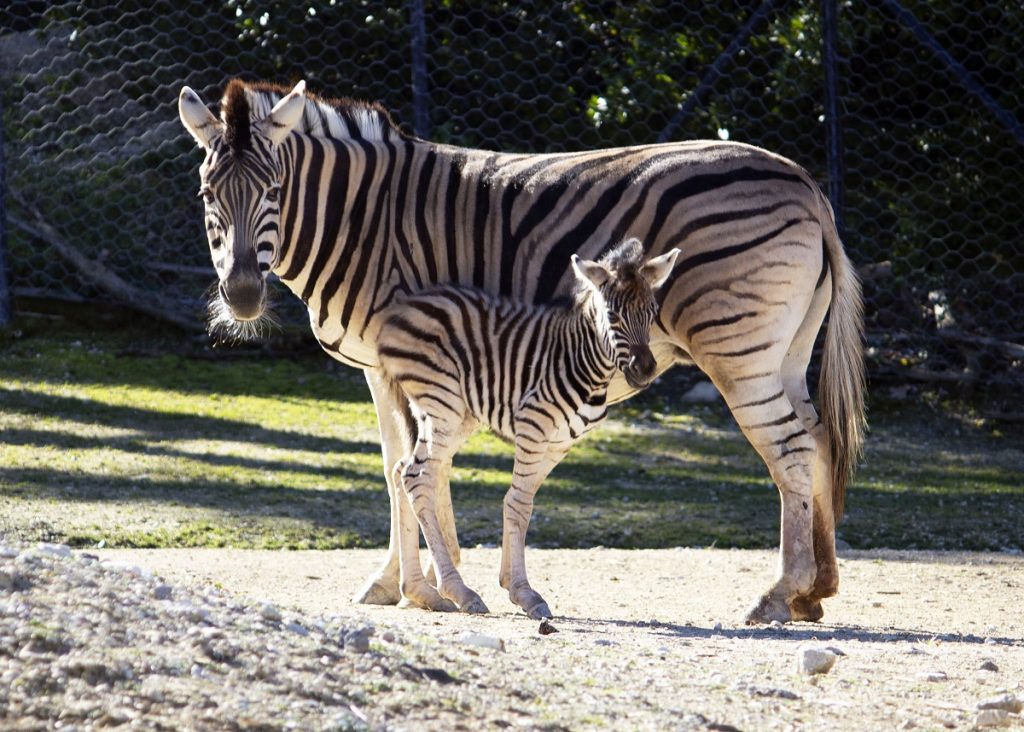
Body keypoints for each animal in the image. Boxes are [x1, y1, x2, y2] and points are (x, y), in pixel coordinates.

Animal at [377, 239, 679, 619]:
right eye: (612, 316)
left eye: (652, 312)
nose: (645, 370)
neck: (584, 362)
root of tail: (400, 311)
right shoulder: (533, 426)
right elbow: (520, 504)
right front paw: (525, 592)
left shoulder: (560, 443)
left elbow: (521, 502)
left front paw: (511, 584)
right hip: (443, 405)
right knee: (417, 478)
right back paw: (458, 590)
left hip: (454, 415)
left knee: (405, 472)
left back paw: (419, 591)